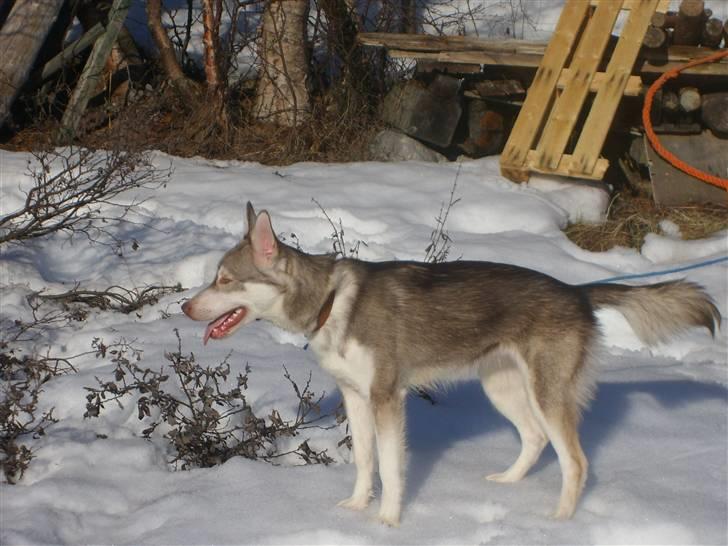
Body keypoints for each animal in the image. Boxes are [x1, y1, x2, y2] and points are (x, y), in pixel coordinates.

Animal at [183, 202, 724, 524]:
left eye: (225, 280)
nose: (186, 307)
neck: (331, 302)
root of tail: (576, 290)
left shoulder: (387, 399)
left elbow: (391, 468)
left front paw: (388, 522)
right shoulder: (356, 398)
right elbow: (365, 462)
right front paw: (356, 508)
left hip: (547, 394)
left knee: (576, 461)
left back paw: (559, 524)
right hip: (503, 389)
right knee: (534, 440)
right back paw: (509, 485)